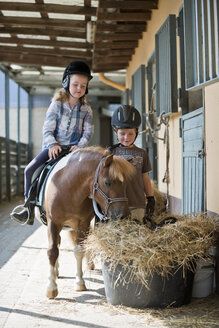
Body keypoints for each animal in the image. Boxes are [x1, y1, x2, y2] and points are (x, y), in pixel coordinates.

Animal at [35, 145, 134, 298]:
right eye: (108, 182)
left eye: (125, 185)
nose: (123, 216)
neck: (68, 187)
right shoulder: (53, 223)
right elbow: (52, 251)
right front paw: (51, 288)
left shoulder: (83, 224)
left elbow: (79, 251)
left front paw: (80, 283)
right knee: (56, 246)